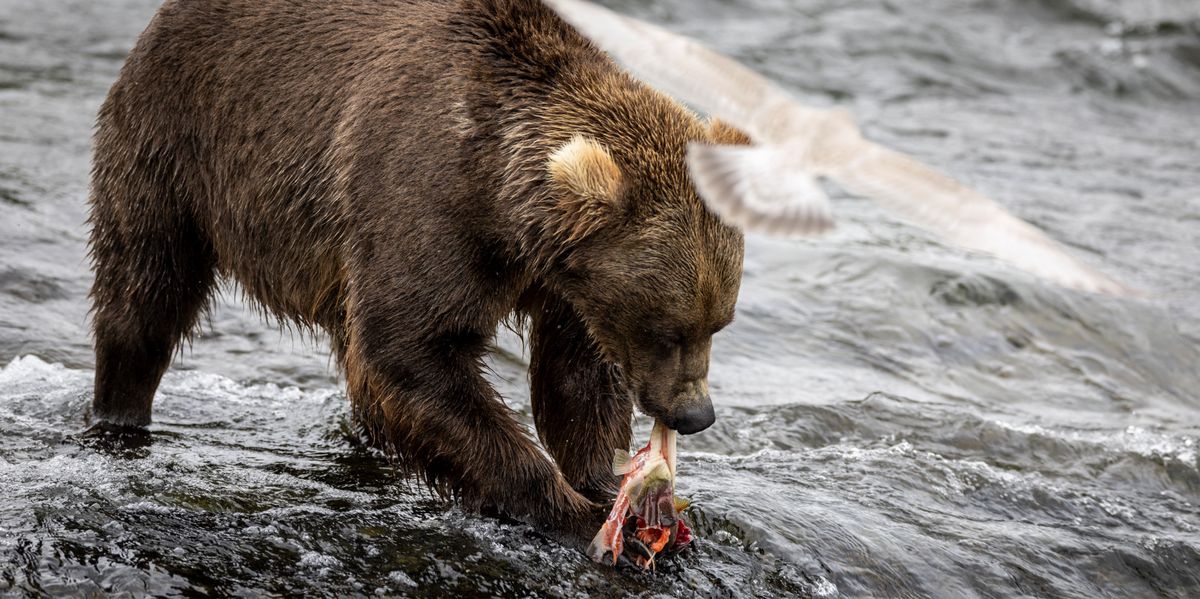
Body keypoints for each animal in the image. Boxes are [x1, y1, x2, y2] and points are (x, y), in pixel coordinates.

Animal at [87, 0, 746, 534]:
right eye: (665, 327)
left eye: (717, 323)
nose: (695, 415)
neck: (504, 208)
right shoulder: (426, 202)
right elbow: (413, 349)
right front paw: (568, 509)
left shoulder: (567, 280)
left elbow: (575, 376)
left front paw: (615, 488)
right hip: (178, 143)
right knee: (144, 292)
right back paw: (119, 414)